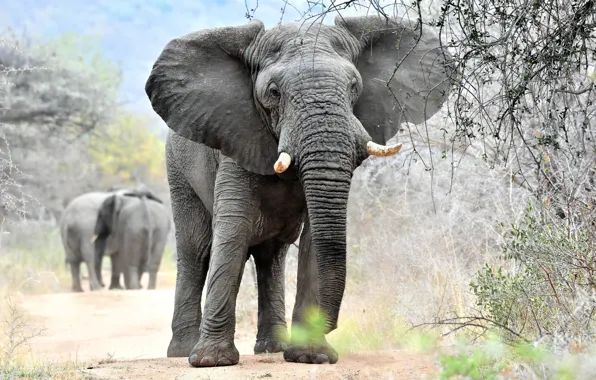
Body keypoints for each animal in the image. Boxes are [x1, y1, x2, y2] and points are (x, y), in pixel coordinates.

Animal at [144, 13, 452, 366]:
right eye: (274, 92)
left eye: (354, 87)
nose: (330, 325)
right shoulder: (235, 140)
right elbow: (233, 230)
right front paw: (213, 361)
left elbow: (314, 238)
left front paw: (311, 356)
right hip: (177, 168)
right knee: (196, 251)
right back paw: (182, 352)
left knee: (272, 257)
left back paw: (272, 348)